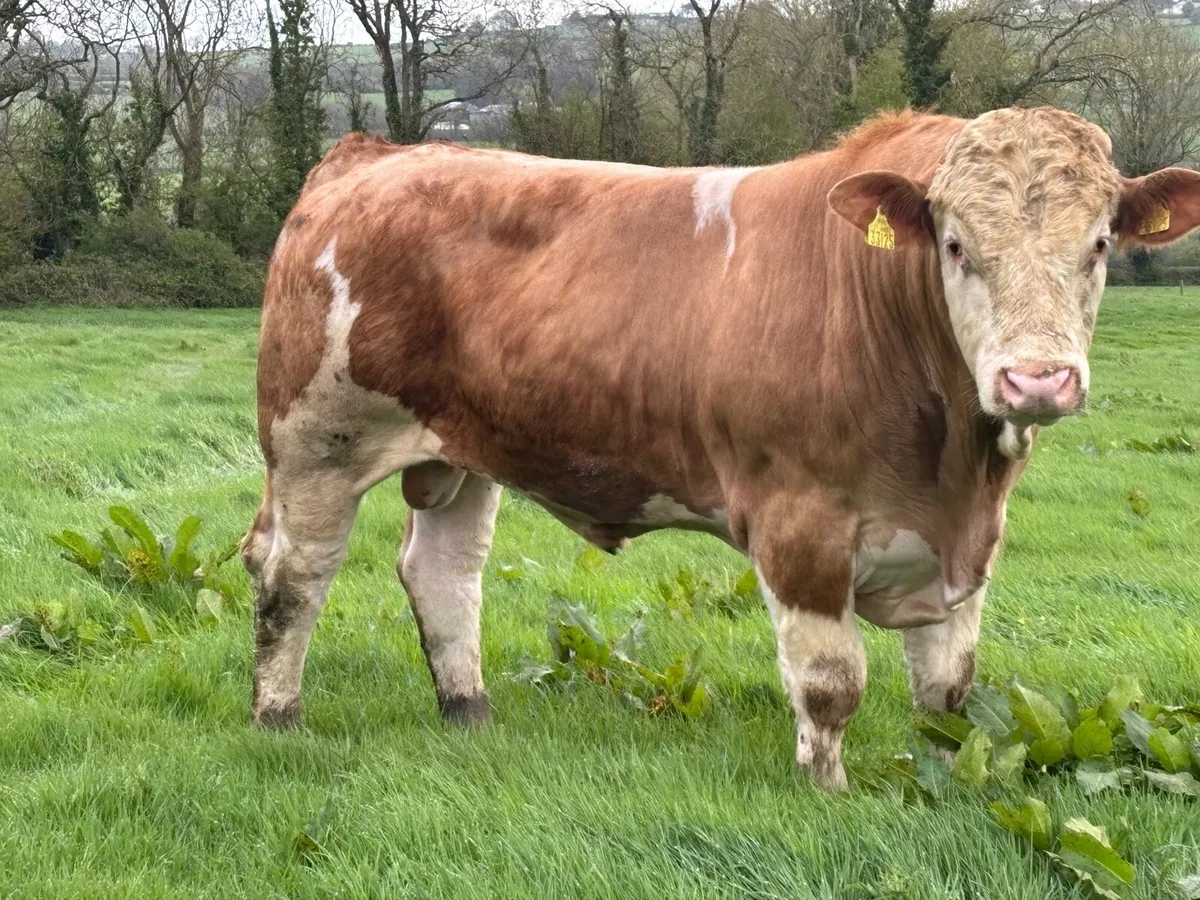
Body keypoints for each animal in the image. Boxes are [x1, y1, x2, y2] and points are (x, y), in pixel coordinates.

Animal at [241, 107, 1200, 790]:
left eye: (1099, 245)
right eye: (957, 245)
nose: (1037, 381)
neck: (949, 468)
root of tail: (376, 154)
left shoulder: (966, 543)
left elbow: (947, 690)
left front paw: (942, 783)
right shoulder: (798, 524)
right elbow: (832, 682)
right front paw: (827, 794)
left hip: (467, 450)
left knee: (442, 571)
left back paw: (468, 709)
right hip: (316, 440)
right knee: (294, 578)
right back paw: (278, 716)